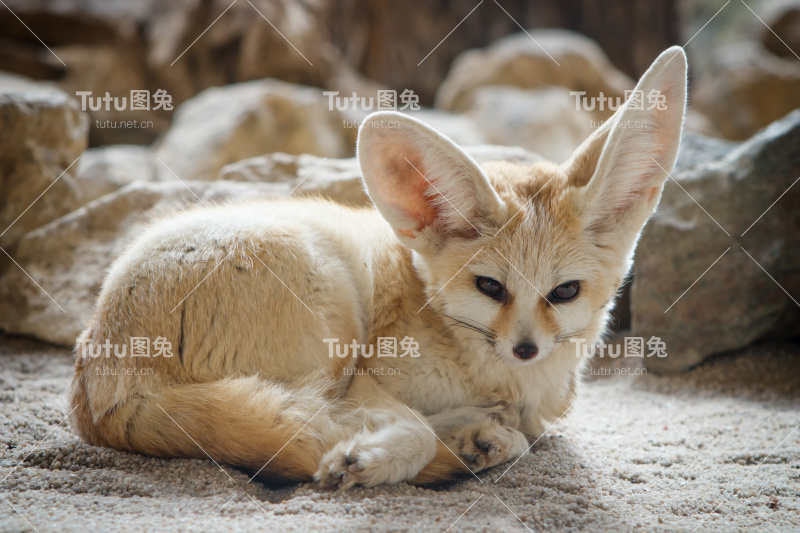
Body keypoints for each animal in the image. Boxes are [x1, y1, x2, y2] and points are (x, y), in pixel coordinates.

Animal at [69, 46, 688, 486]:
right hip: (332, 317)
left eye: (564, 292)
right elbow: (410, 427)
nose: (526, 349)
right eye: (490, 286)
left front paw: (476, 435)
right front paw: (376, 458)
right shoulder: (366, 378)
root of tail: (105, 382)